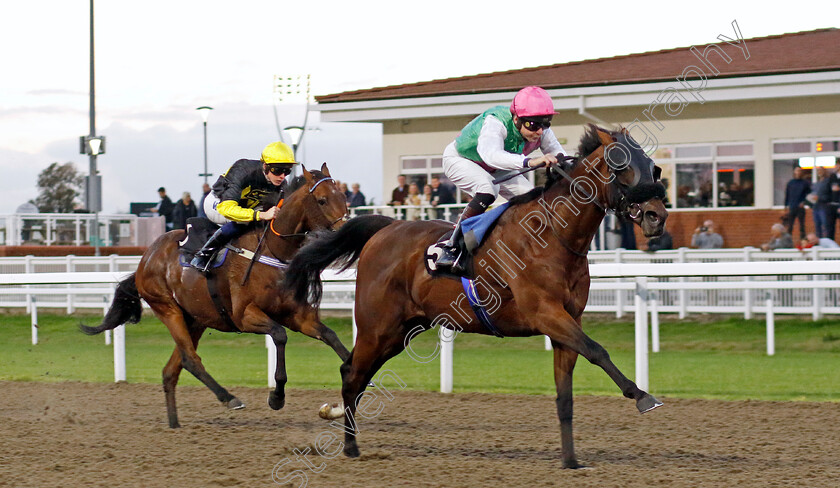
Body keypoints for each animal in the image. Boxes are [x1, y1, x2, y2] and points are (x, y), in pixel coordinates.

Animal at [80, 164, 350, 428]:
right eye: (322, 200)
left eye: (343, 196)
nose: (346, 230)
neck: (274, 251)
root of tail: (144, 260)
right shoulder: (244, 316)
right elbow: (279, 335)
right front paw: (276, 397)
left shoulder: (300, 316)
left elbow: (331, 336)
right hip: (167, 309)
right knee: (190, 360)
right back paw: (229, 398)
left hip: (196, 319)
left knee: (172, 369)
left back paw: (174, 424)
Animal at [288, 124, 668, 468]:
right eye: (621, 166)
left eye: (653, 166)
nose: (657, 216)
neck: (552, 235)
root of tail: (385, 229)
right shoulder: (547, 314)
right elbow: (598, 350)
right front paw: (642, 396)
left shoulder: (565, 323)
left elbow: (566, 395)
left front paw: (571, 460)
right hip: (377, 326)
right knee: (353, 376)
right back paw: (350, 447)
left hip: (400, 331)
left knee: (353, 371)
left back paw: (341, 426)